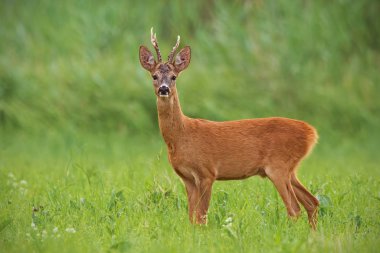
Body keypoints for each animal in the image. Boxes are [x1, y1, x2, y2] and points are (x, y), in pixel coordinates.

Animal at [138, 28, 320, 229]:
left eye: (174, 77)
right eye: (154, 76)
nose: (164, 89)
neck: (181, 136)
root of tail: (312, 133)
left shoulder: (207, 172)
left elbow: (201, 216)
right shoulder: (187, 178)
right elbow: (192, 217)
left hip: (278, 166)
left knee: (295, 209)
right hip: (290, 170)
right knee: (312, 202)